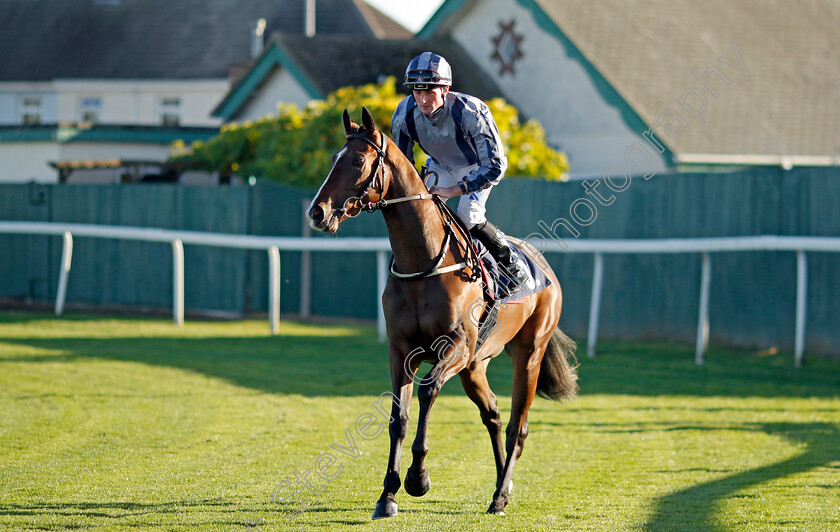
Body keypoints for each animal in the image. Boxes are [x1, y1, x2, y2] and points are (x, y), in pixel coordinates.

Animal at [308, 106, 576, 516]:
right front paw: (387, 495)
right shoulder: (402, 350)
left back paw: (500, 497)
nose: (317, 212)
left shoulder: (455, 346)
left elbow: (428, 391)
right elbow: (398, 417)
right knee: (493, 414)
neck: (424, 262)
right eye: (334, 158)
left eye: (357, 160)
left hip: (528, 354)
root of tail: (544, 267)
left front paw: (418, 478)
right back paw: (501, 486)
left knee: (518, 426)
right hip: (475, 367)